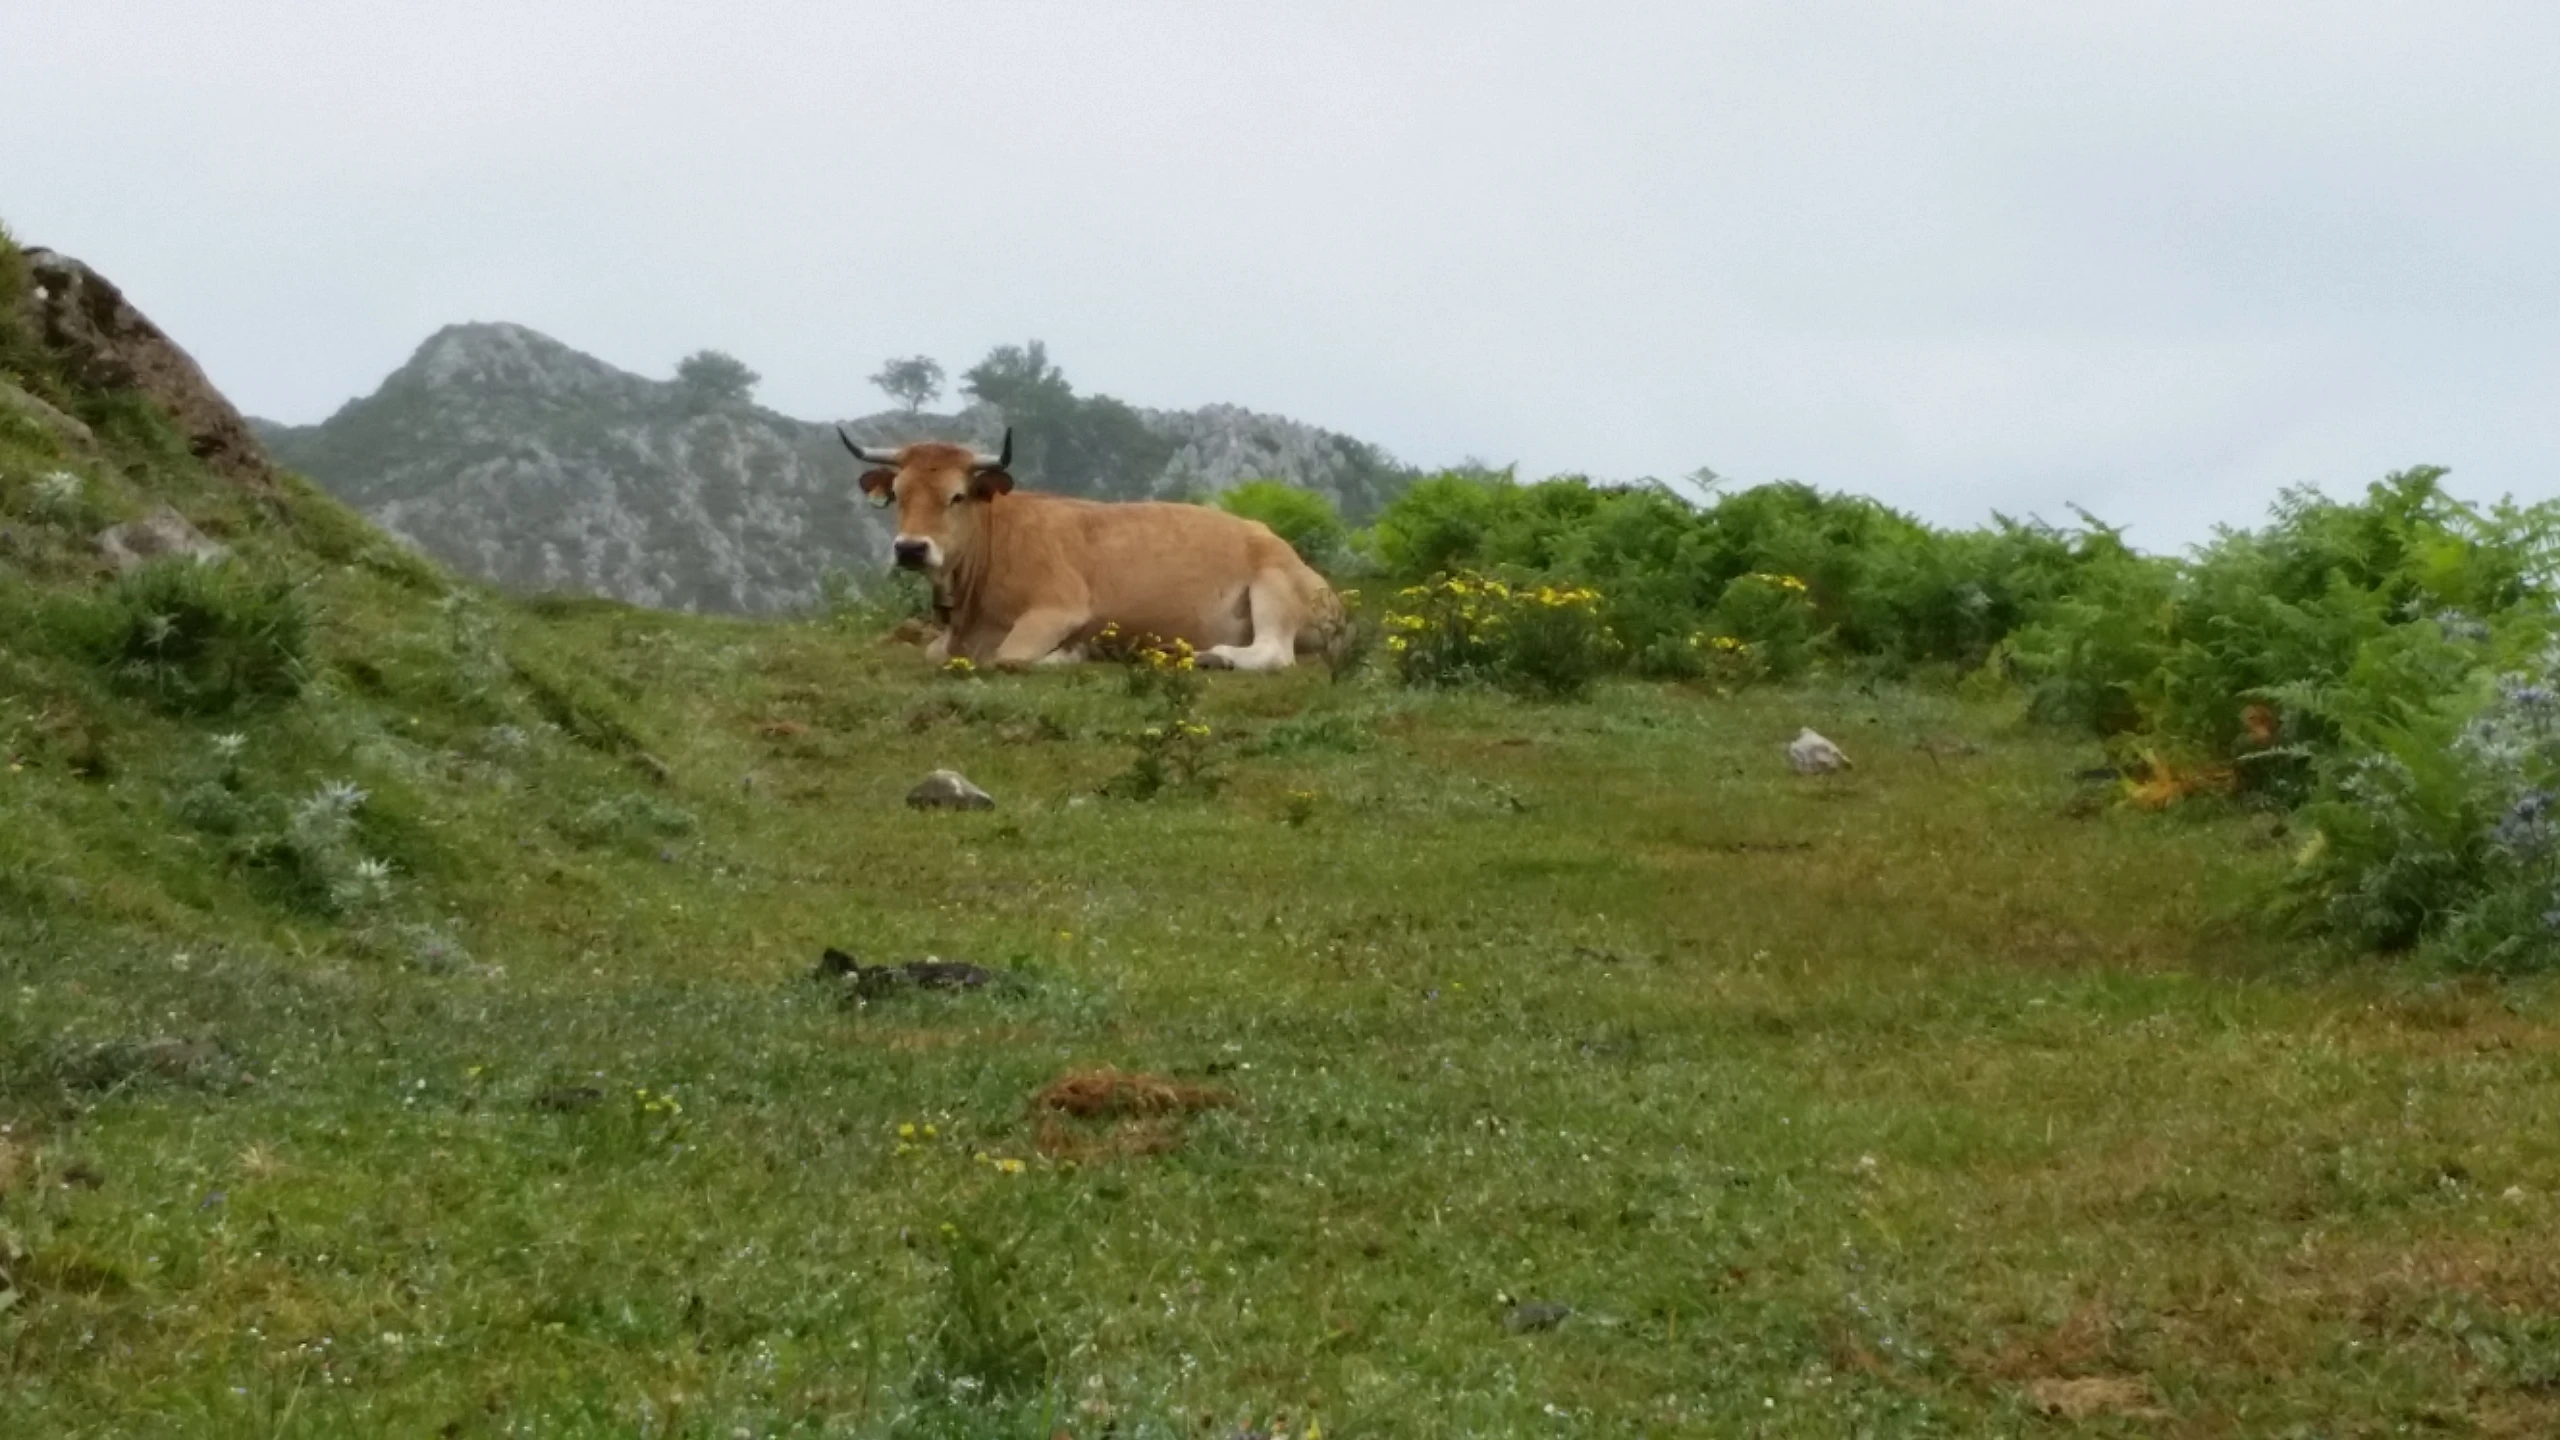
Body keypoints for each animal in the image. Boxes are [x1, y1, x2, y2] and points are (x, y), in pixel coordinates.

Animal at [849, 425, 1351, 671]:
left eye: (956, 496)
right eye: (899, 494)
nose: (911, 549)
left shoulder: (1059, 608)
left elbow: (1009, 657)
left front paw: (1072, 655)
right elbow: (935, 653)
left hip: (1273, 585)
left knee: (1274, 652)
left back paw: (1212, 656)